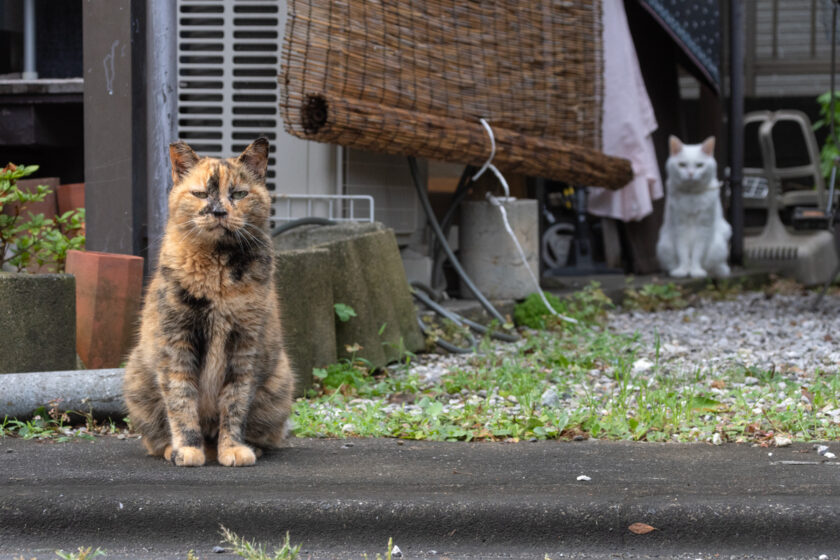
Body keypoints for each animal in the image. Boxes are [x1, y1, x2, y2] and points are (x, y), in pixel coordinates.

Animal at [123, 138, 294, 466]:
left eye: (238, 194)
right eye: (200, 193)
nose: (217, 211)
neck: (218, 277)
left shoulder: (244, 347)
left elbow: (236, 403)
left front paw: (234, 450)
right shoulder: (177, 343)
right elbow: (181, 400)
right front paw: (188, 450)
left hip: (280, 382)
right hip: (136, 376)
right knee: (154, 438)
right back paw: (175, 450)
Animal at [656, 136, 728, 280]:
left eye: (700, 165)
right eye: (682, 165)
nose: (690, 174)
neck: (691, 196)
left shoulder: (704, 228)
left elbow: (697, 253)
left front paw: (696, 271)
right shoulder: (679, 226)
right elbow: (682, 252)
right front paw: (683, 270)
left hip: (718, 246)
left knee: (713, 267)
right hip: (664, 247)